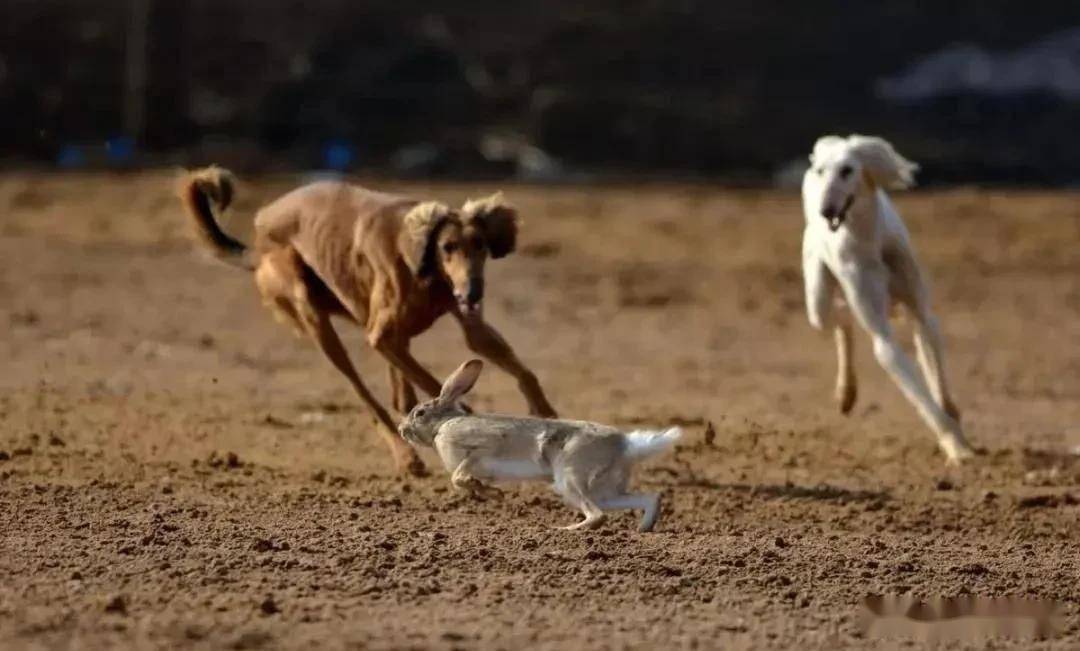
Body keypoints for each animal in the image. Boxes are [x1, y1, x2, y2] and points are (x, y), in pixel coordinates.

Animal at [178, 167, 557, 472]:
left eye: (479, 244)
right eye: (448, 247)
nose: (473, 292)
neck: (422, 264)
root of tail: (257, 239)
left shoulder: (468, 327)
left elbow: (524, 373)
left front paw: (548, 415)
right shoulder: (381, 336)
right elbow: (436, 387)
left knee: (399, 394)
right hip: (314, 317)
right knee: (368, 396)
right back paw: (406, 456)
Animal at [397, 358, 682, 533]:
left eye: (419, 413)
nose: (402, 430)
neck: (442, 425)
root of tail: (625, 446)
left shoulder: (478, 450)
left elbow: (458, 477)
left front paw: (487, 490)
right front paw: (493, 493)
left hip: (570, 479)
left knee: (597, 515)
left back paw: (565, 530)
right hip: (604, 489)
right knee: (647, 497)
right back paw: (643, 528)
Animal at [799, 134, 976, 466]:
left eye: (847, 170)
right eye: (820, 171)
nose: (826, 210)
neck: (868, 241)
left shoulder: (921, 312)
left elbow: (936, 375)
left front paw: (953, 416)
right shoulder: (883, 336)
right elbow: (917, 391)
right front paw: (956, 446)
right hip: (817, 300)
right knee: (839, 317)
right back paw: (845, 392)